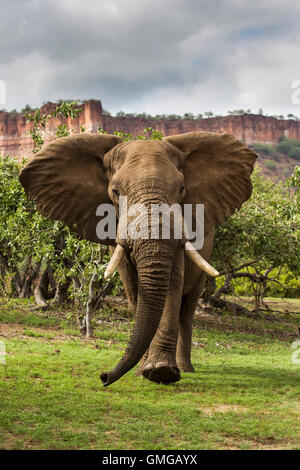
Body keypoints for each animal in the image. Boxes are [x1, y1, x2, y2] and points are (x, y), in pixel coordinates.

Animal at [18, 131, 256, 386]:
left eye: (182, 189)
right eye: (115, 192)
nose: (104, 376)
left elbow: (172, 285)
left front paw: (162, 372)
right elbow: (133, 288)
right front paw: (144, 371)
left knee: (187, 309)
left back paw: (185, 368)